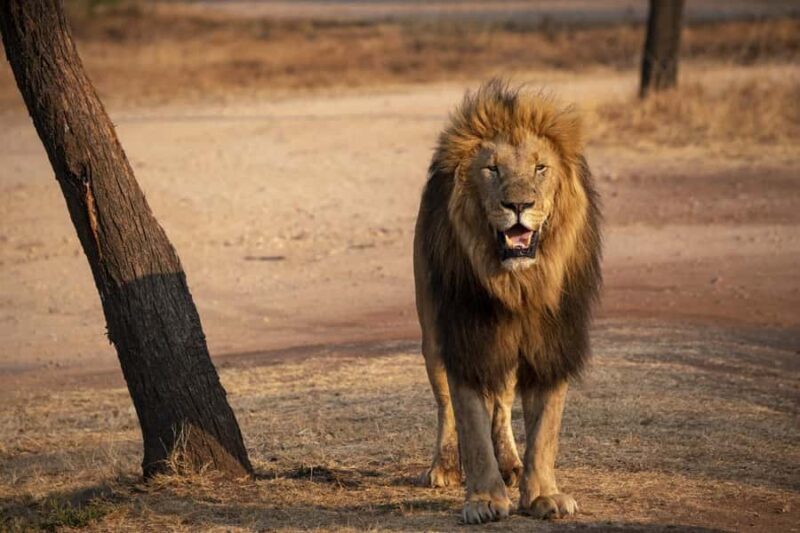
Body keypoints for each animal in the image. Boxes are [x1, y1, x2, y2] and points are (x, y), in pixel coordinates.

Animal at [413, 80, 601, 524]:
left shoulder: (551, 343)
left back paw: (512, 464)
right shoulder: (465, 337)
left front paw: (543, 495)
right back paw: (444, 467)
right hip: (432, 336)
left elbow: (545, 429)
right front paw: (483, 499)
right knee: (446, 404)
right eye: (492, 169)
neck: (518, 285)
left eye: (540, 168)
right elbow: (470, 423)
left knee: (501, 400)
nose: (518, 205)